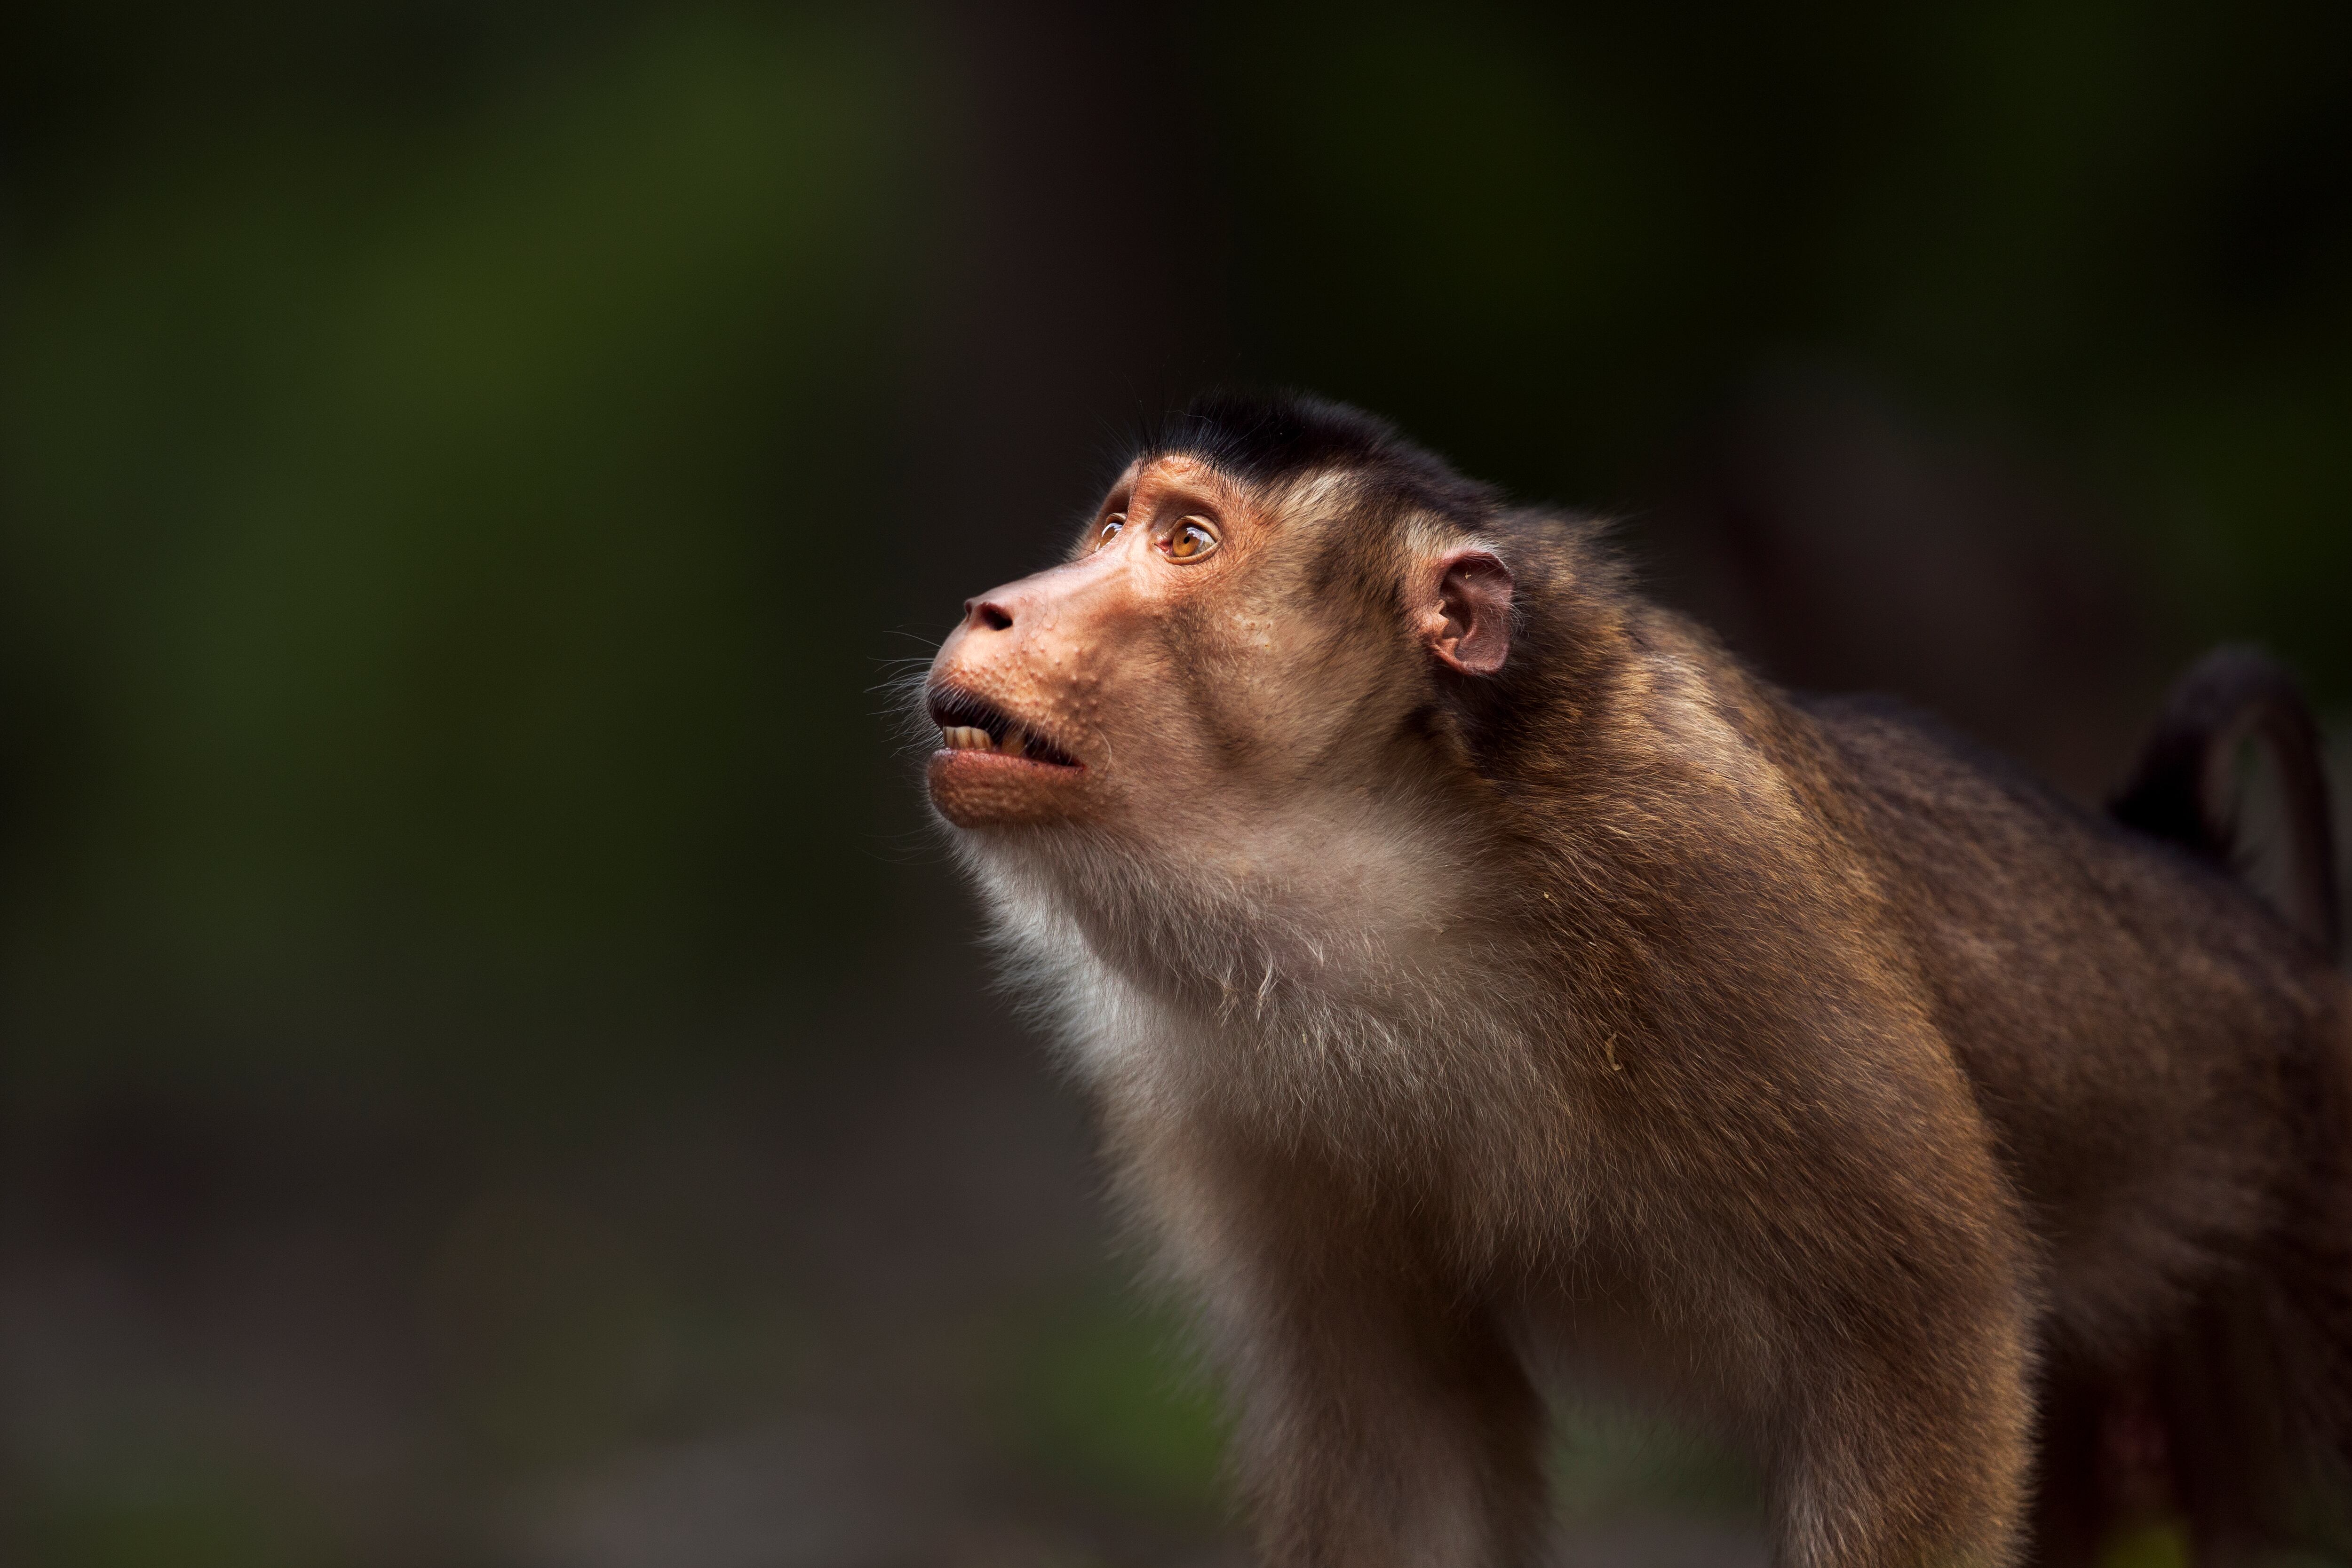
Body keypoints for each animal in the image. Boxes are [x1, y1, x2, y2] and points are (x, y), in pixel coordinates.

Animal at [917, 390, 2352, 1568]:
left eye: (1187, 544)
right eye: (1112, 524)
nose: (993, 604)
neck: (1398, 873)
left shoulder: (1715, 895)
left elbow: (1918, 1342)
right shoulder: (1217, 1077)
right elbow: (1403, 1443)